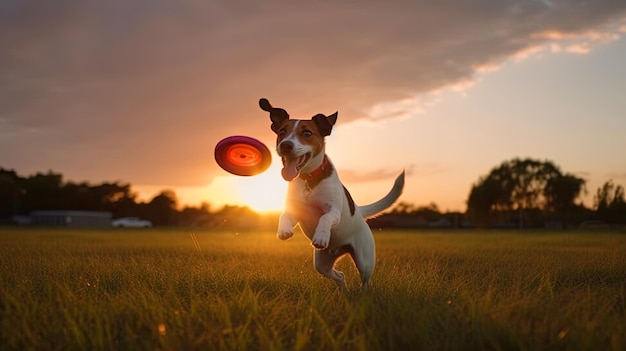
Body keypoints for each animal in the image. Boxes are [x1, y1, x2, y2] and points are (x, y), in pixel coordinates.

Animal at [258, 97, 404, 290]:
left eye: (307, 133)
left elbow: (325, 217)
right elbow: (284, 215)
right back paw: (344, 291)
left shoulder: (334, 211)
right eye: (282, 131)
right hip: (322, 263)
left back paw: (363, 294)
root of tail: (359, 211)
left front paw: (321, 235)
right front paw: (284, 230)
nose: (286, 145)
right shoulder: (295, 211)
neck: (309, 180)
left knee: (366, 280)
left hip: (364, 260)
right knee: (340, 275)